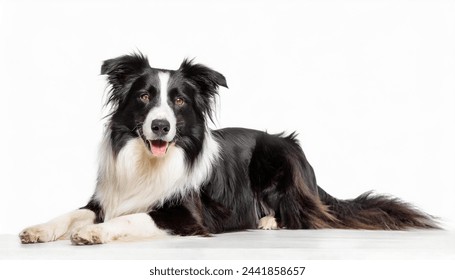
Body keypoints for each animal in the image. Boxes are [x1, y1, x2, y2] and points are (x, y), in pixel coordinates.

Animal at [18, 53, 438, 245]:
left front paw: (95, 234)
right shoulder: (105, 198)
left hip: (277, 157)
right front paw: (39, 229)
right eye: (144, 96)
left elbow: (133, 218)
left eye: (179, 101)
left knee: (302, 215)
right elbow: (73, 213)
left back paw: (268, 220)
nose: (161, 126)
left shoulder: (188, 216)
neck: (147, 163)